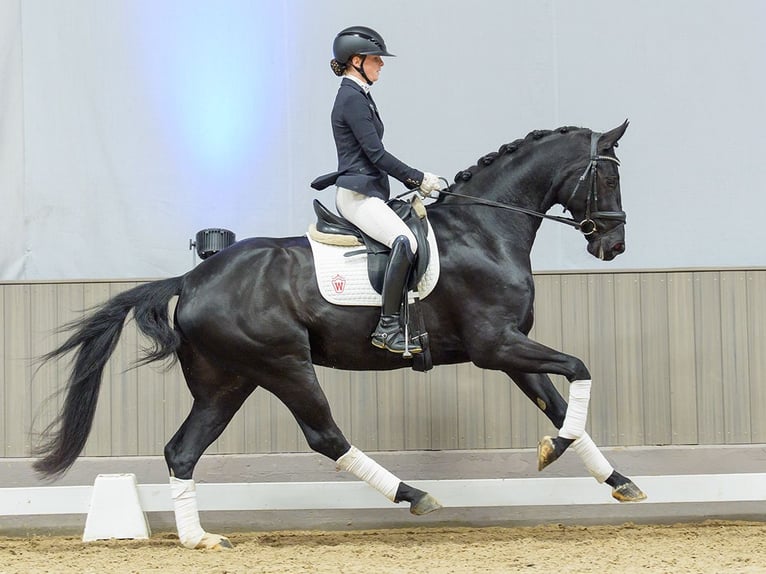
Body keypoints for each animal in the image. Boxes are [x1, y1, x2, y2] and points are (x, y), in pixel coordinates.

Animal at [34, 120, 645, 549]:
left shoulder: (510, 349)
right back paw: (414, 494)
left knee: (182, 450)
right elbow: (579, 370)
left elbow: (558, 402)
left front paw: (617, 480)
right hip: (284, 366)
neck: (486, 228)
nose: (612, 245)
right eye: (611, 174)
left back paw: (199, 539)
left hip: (226, 382)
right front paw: (555, 449)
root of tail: (191, 278)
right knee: (324, 435)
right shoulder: (494, 346)